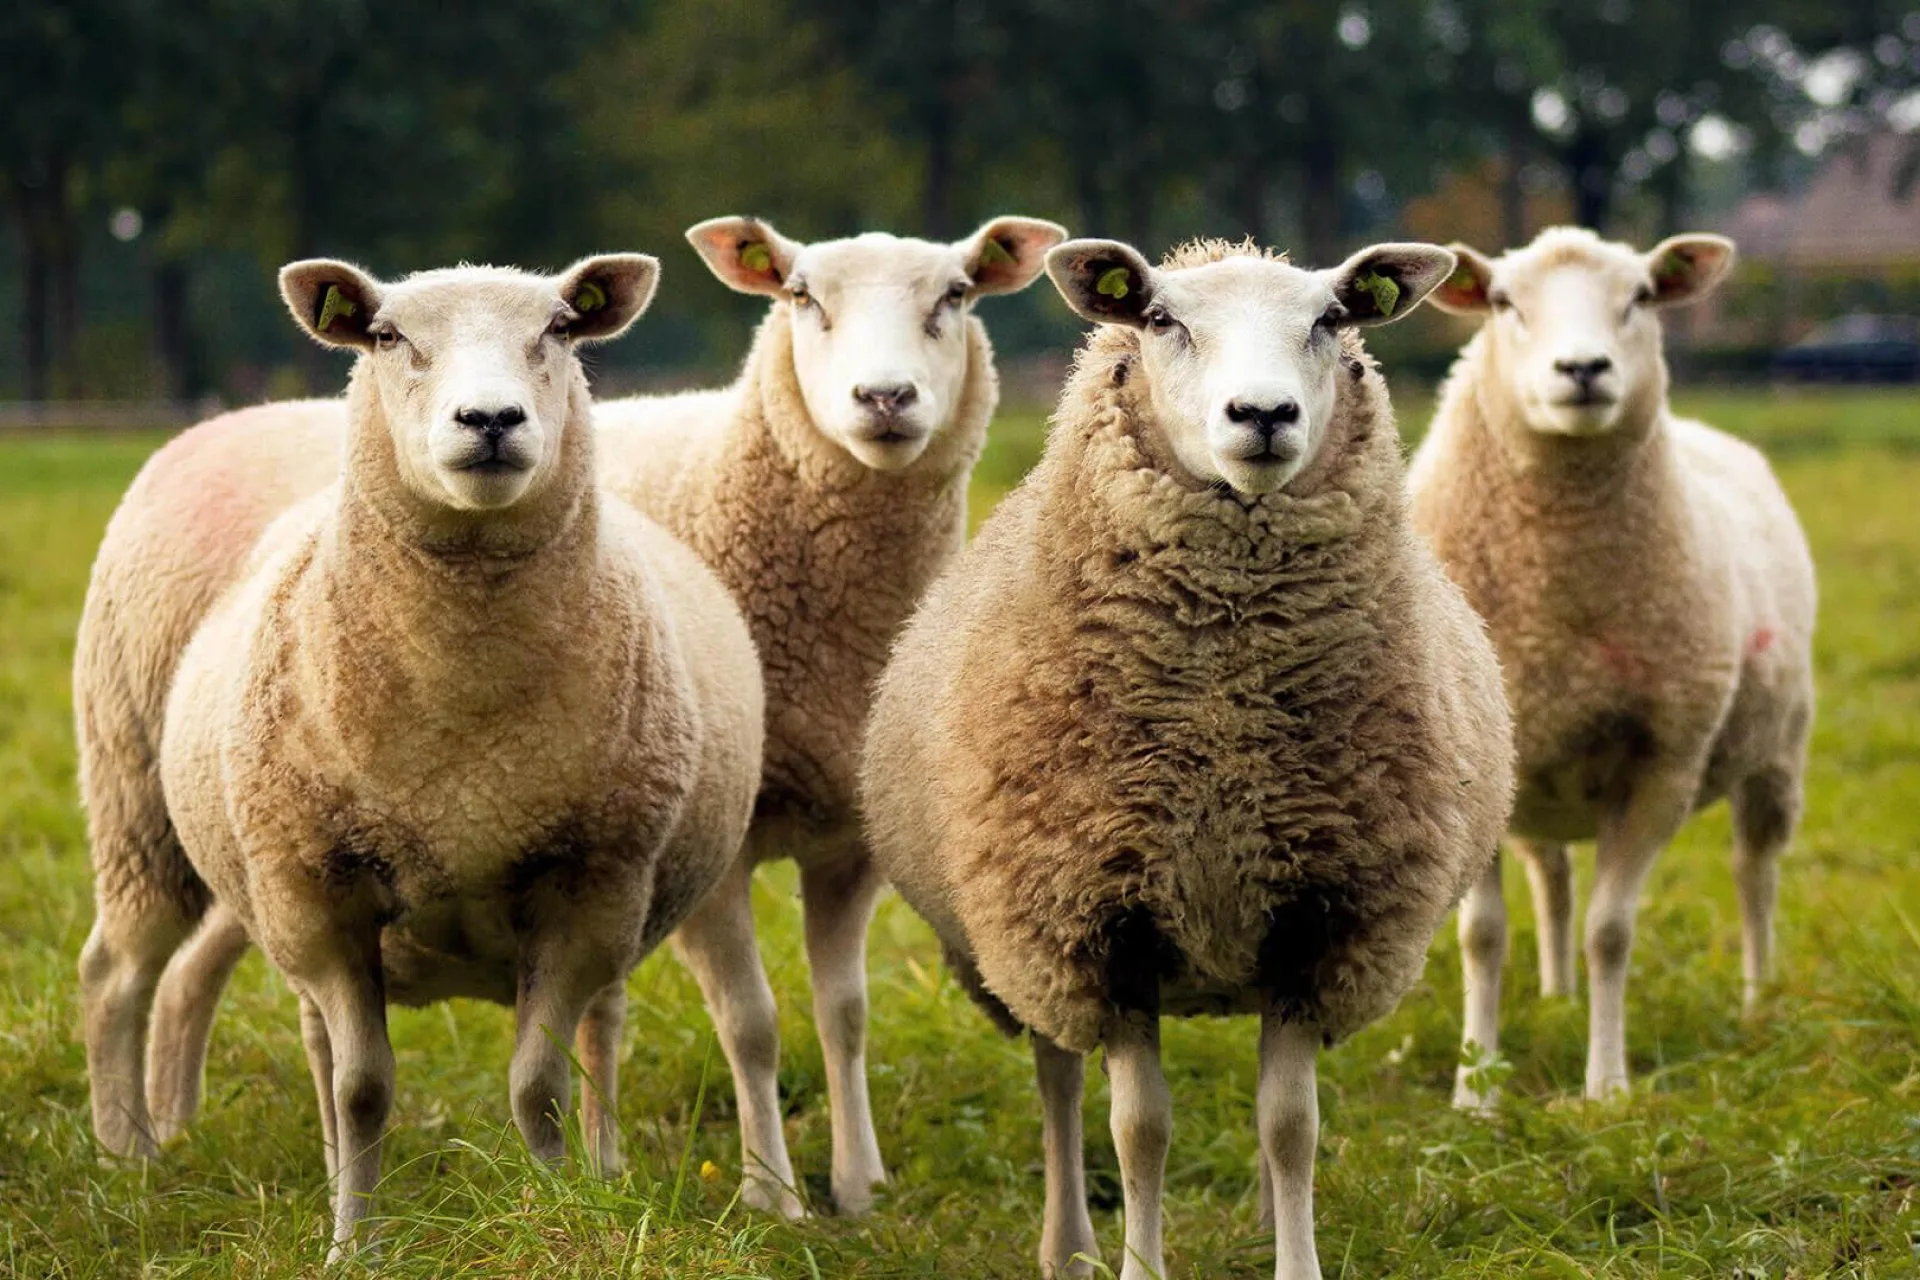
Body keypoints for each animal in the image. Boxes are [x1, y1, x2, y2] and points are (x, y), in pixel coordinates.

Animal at [78, 254, 765, 1256]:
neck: (463, 734)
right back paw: (125, 1160)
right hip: (138, 802)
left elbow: (538, 1086)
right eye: (387, 336)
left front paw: (558, 1215)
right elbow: (363, 1088)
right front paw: (351, 1246)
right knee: (120, 973)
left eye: (561, 328)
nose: (490, 420)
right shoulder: (318, 891)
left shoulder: (590, 885)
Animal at [592, 213, 1067, 1217]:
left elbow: (844, 1015)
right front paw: (772, 1194)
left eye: (957, 293)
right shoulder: (719, 843)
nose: (884, 396)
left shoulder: (851, 838)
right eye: (803, 296)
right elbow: (751, 1022)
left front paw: (858, 1185)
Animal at [860, 236, 1514, 1280]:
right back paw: (1069, 1246)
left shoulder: (1317, 919)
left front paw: (1296, 1261)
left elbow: (1291, 1125)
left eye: (1334, 319)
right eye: (1162, 320)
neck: (1224, 723)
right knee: (1058, 1083)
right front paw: (1138, 1264)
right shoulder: (1097, 921)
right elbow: (1139, 1132)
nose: (1264, 415)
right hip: (1026, 948)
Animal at [1409, 226, 1816, 1107]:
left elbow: (1611, 932)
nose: (1584, 370)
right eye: (1503, 302)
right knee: (1554, 877)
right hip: (1537, 780)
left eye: (1640, 296)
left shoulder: (1663, 765)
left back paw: (1758, 999)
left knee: (1755, 873)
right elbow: (1483, 935)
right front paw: (1475, 1090)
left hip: (1777, 751)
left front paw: (1606, 1088)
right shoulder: (1470, 772)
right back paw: (1557, 997)